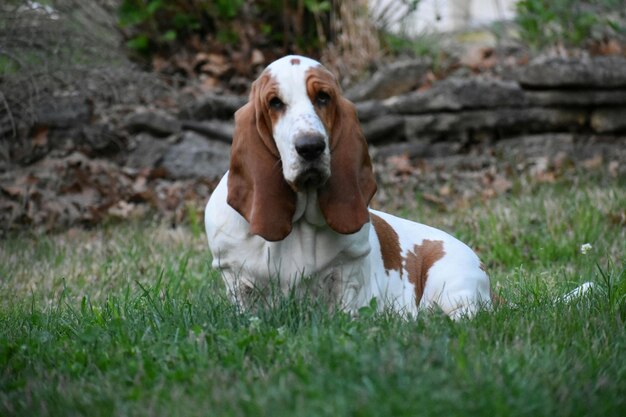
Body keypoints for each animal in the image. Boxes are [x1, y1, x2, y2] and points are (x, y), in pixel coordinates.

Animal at [205, 54, 492, 316]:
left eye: (323, 97)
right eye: (274, 102)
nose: (311, 147)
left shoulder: (347, 273)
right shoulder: (234, 276)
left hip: (449, 284)